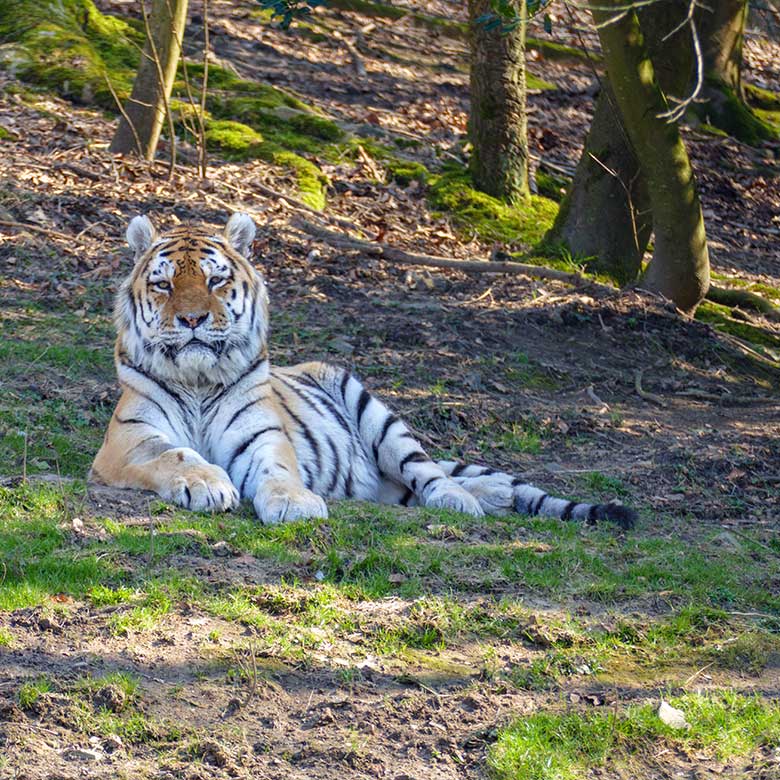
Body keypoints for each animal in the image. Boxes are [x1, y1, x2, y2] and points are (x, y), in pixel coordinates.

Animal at [90, 213, 632, 532]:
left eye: (215, 280)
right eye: (162, 285)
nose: (192, 320)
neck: (199, 381)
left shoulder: (264, 438)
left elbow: (277, 471)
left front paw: (295, 503)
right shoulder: (129, 443)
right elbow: (176, 455)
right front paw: (208, 484)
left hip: (377, 416)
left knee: (431, 474)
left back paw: (467, 500)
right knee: (409, 490)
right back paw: (493, 494)